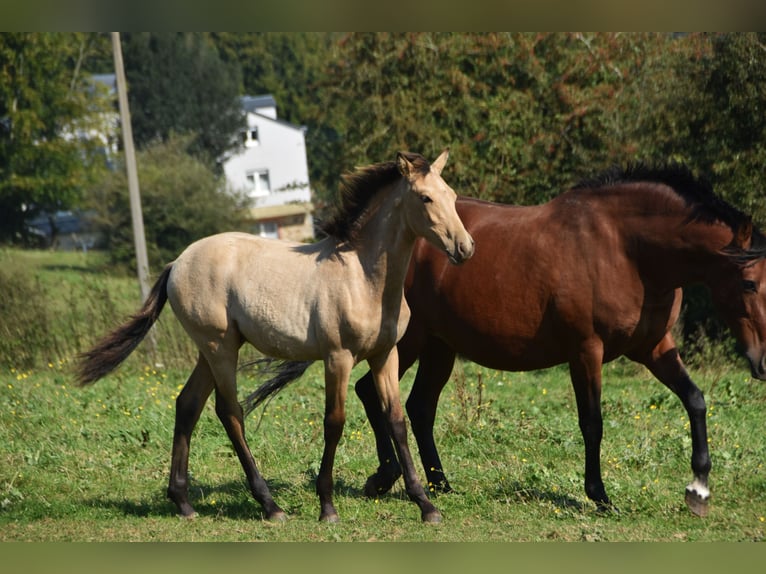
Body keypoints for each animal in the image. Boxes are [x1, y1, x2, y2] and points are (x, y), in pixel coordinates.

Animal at [76, 151, 474, 524]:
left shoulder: (385, 355)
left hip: (210, 350)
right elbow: (334, 422)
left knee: (187, 404)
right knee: (229, 411)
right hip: (220, 348)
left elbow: (396, 421)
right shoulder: (338, 358)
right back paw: (269, 505)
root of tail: (177, 263)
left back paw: (183, 502)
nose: (465, 248)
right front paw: (327, 506)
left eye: (452, 195)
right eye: (425, 198)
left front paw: (426, 505)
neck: (362, 278)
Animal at [354, 164, 766, 520]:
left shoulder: (653, 348)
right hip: (408, 343)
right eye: (750, 283)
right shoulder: (586, 350)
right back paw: (386, 477)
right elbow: (593, 422)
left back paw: (440, 485)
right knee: (373, 393)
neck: (626, 250)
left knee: (420, 407)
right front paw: (600, 496)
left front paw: (699, 490)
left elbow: (695, 400)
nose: (762, 363)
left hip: (440, 347)